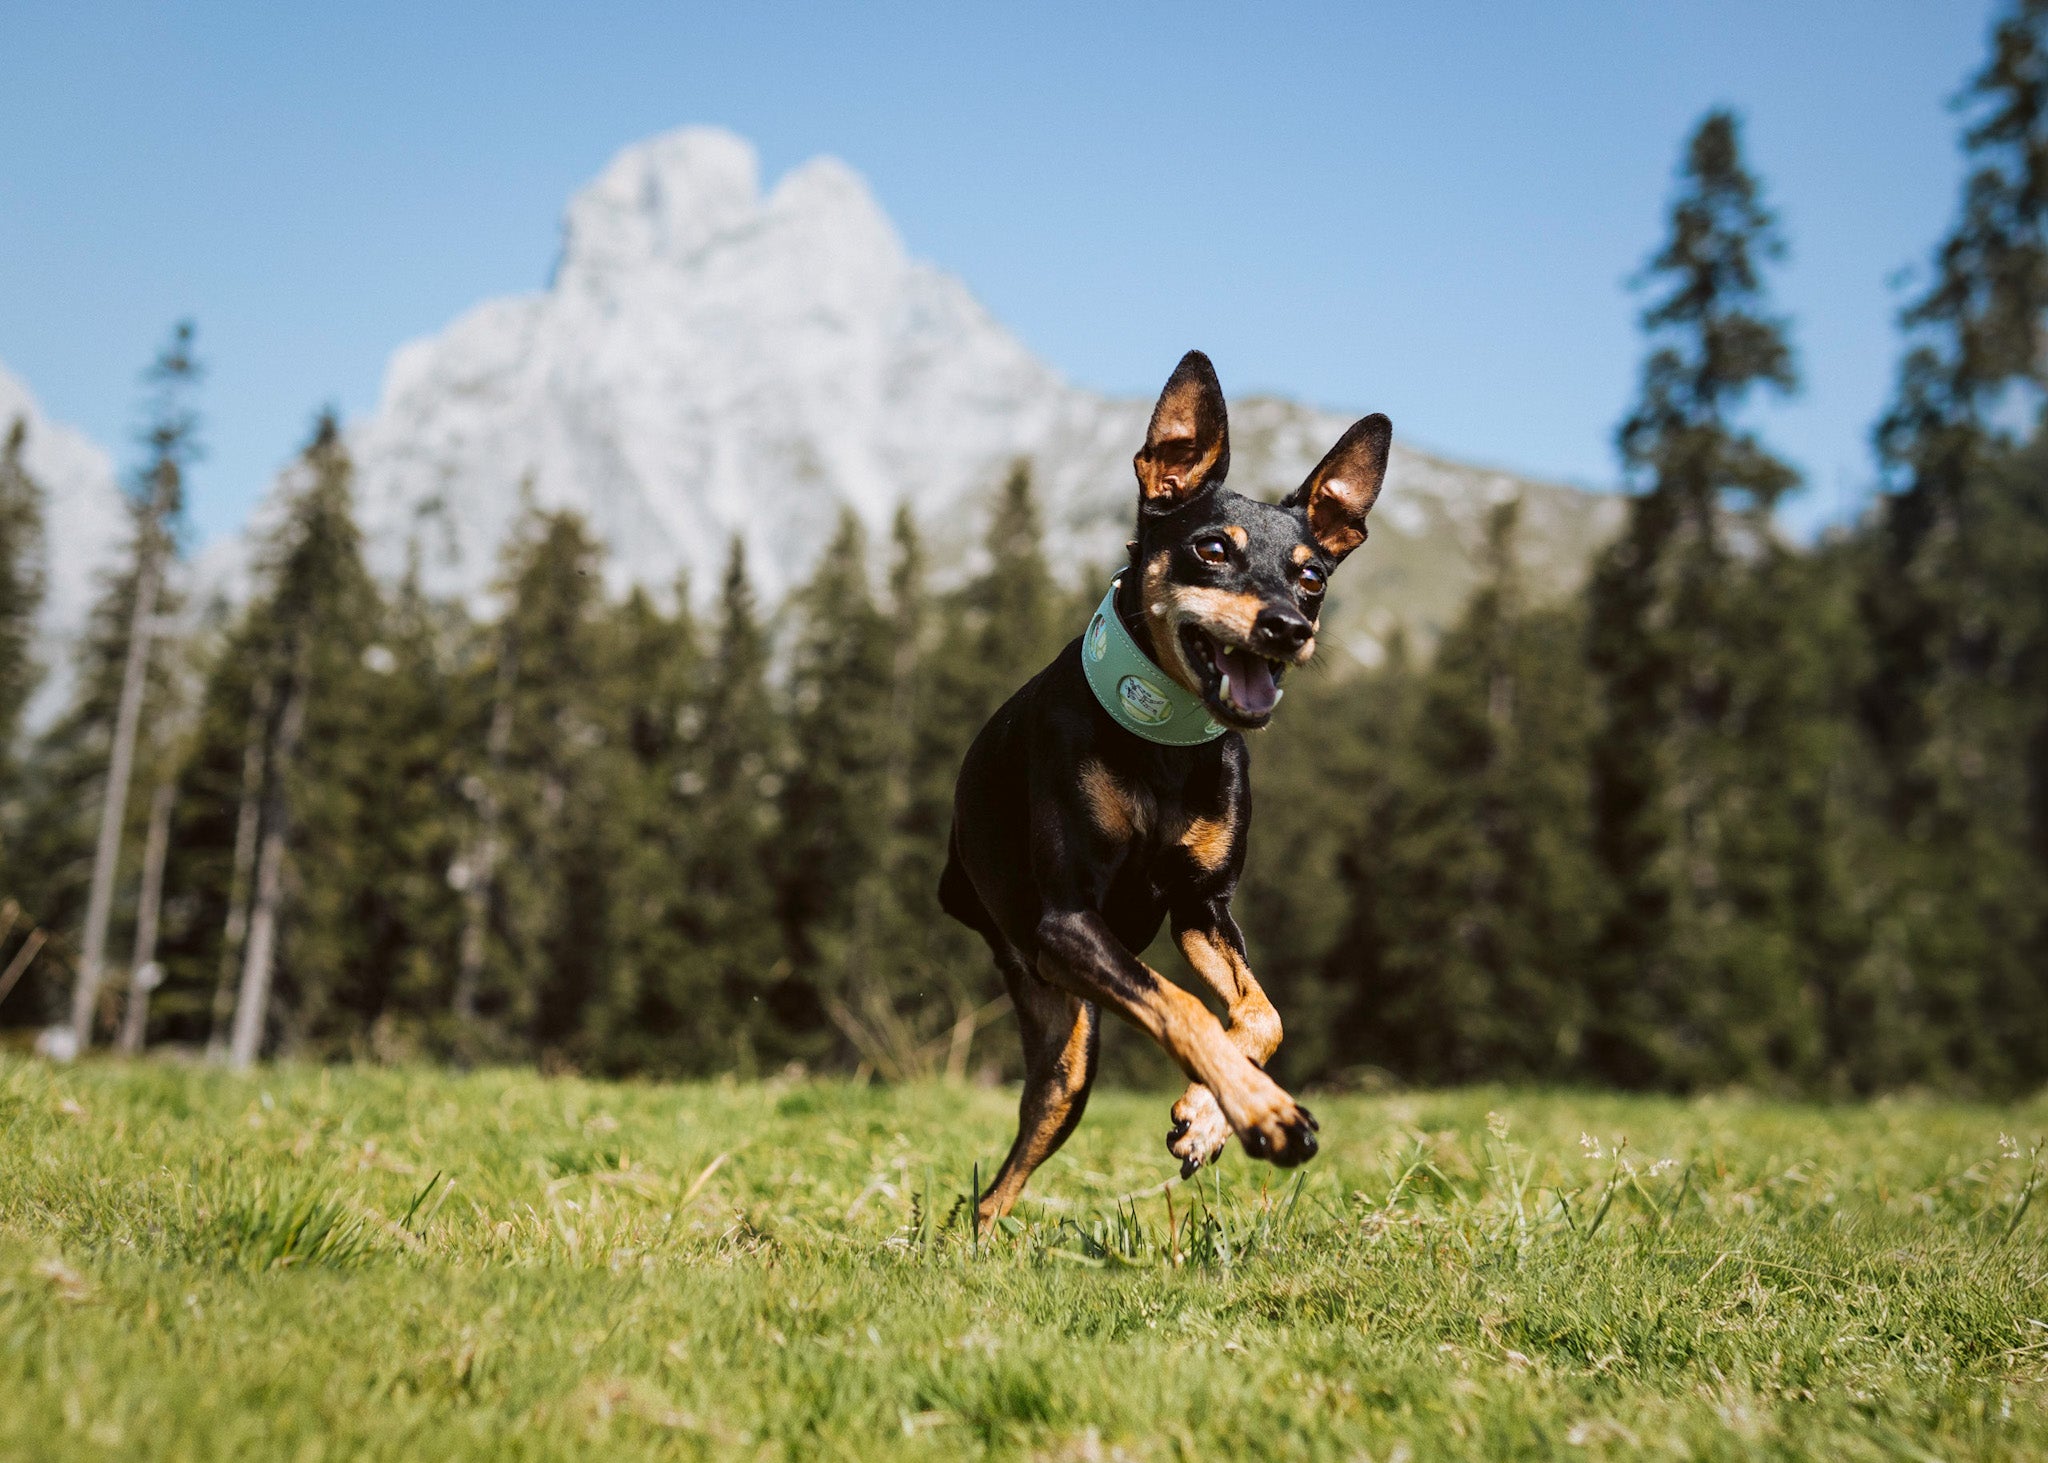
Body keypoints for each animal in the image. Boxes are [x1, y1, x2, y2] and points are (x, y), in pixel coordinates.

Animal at [937, 344, 1392, 1221]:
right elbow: (1182, 1006)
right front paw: (1265, 1114)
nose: (1289, 627)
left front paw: (1209, 1116)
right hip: (1060, 1019)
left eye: (1313, 576)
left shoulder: (1201, 906)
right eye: (1213, 549)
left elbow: (1260, 1014)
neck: (1162, 743)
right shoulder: (1069, 922)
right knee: (995, 1188)